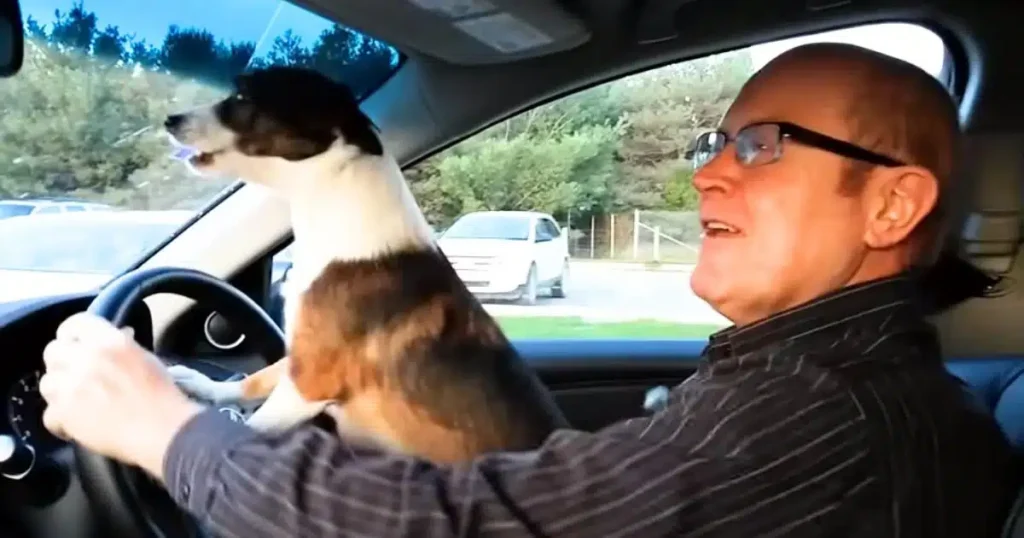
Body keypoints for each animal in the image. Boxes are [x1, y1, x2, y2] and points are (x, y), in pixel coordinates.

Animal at [163, 67, 573, 461]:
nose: (170, 119)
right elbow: (258, 377)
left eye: (242, 95)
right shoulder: (303, 357)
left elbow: (252, 428)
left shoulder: (309, 381)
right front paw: (206, 386)